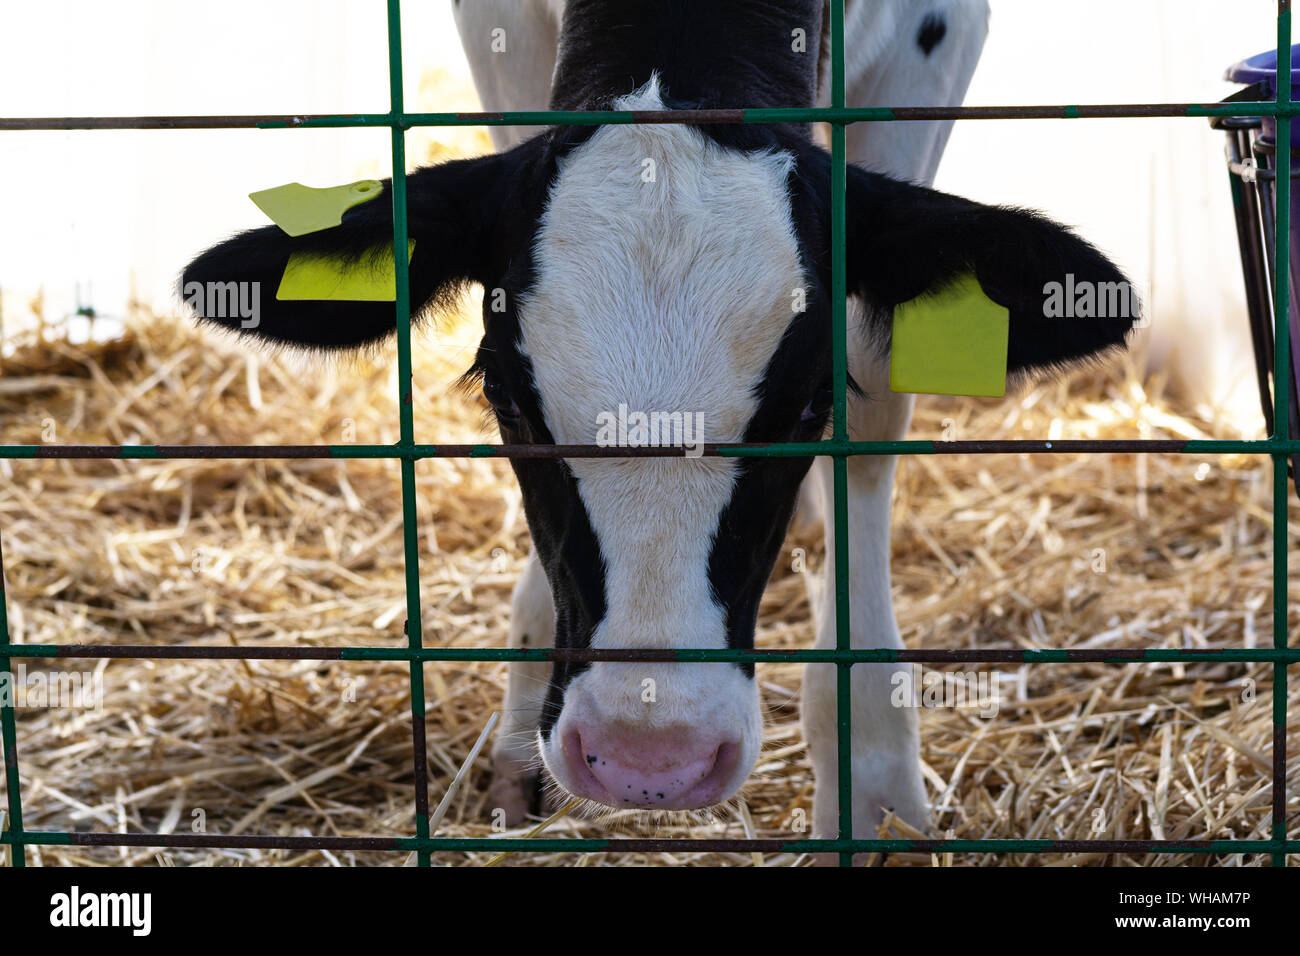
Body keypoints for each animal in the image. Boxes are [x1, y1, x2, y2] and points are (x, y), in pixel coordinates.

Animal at [185, 0, 1138, 848]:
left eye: (808, 405)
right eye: (509, 399)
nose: (651, 759)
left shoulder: (935, 40)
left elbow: (874, 415)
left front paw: (874, 785)